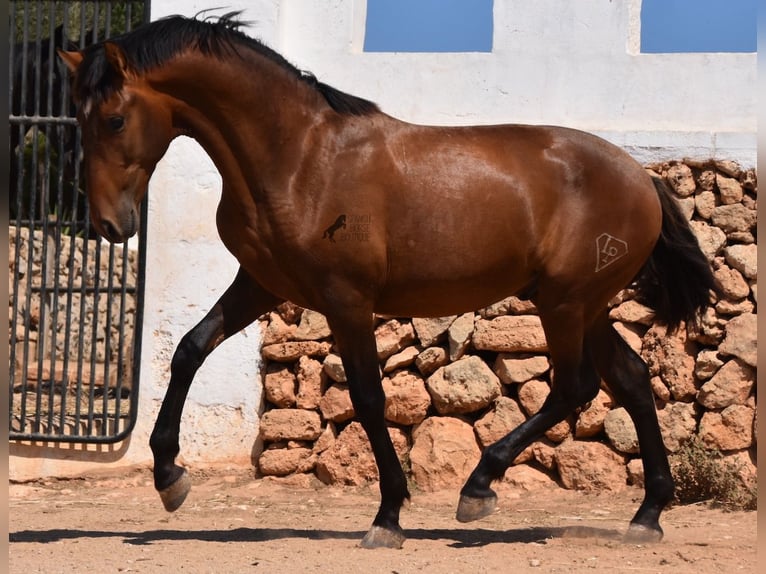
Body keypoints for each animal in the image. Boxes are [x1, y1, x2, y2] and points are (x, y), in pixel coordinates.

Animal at [61, 13, 720, 552]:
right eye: (78, 119)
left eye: (115, 118)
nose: (110, 225)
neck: (300, 158)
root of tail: (641, 176)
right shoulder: (262, 284)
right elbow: (190, 349)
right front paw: (169, 478)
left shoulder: (346, 299)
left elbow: (369, 397)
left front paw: (388, 517)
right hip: (583, 304)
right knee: (631, 379)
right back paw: (647, 515)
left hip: (564, 301)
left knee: (576, 386)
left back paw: (479, 488)